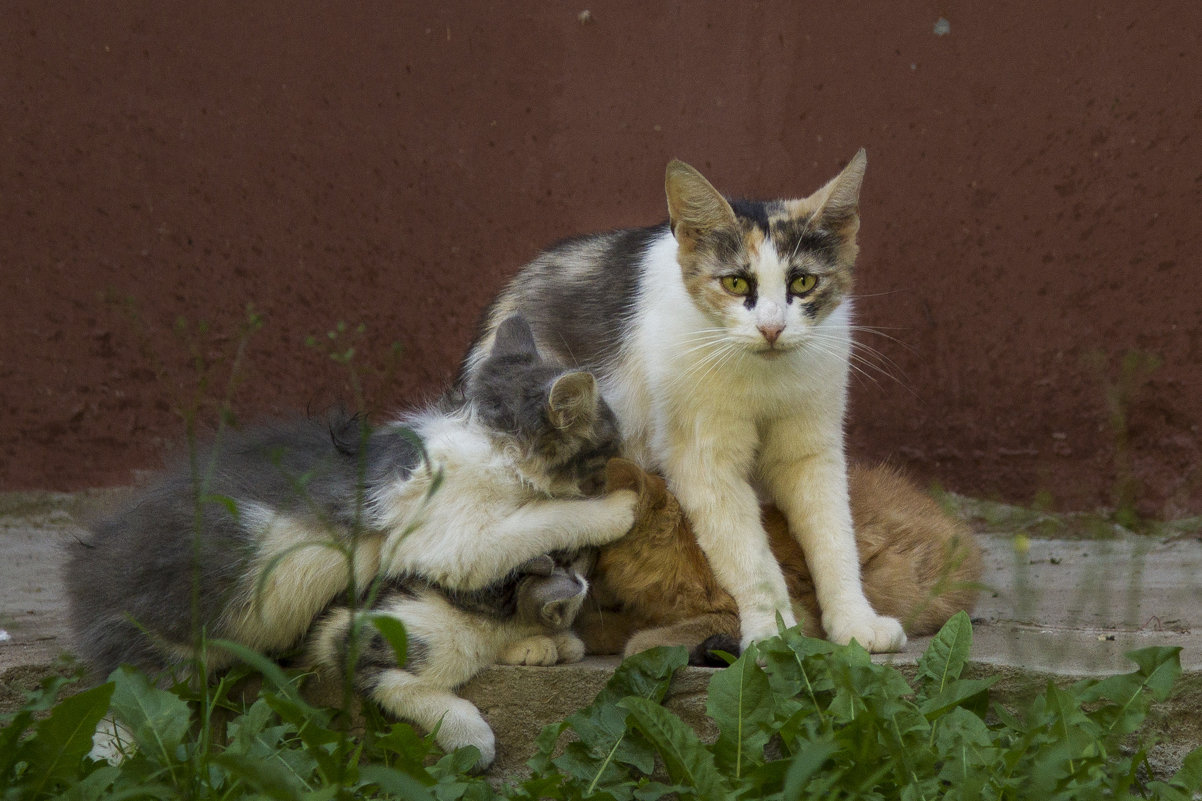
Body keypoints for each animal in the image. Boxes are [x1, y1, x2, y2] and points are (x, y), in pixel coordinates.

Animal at [307, 548, 593, 769]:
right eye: (568, 570)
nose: (583, 575)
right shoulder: (346, 636)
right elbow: (407, 688)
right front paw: (472, 741)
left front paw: (557, 644)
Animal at [459, 152, 903, 654]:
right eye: (735, 283)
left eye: (804, 281)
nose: (772, 328)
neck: (763, 377)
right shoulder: (702, 459)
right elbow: (750, 556)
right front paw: (772, 635)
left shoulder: (811, 449)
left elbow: (833, 535)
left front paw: (855, 621)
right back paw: (535, 641)